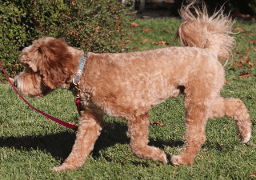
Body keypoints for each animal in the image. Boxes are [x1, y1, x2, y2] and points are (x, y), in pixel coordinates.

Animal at [13, 3, 251, 171]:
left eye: (29, 68)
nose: (15, 82)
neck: (84, 70)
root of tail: (208, 51)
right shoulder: (90, 118)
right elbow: (79, 147)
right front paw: (66, 168)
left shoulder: (137, 111)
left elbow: (137, 147)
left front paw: (158, 156)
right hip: (204, 97)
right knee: (236, 104)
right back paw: (245, 134)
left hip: (195, 101)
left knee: (197, 136)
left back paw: (182, 159)